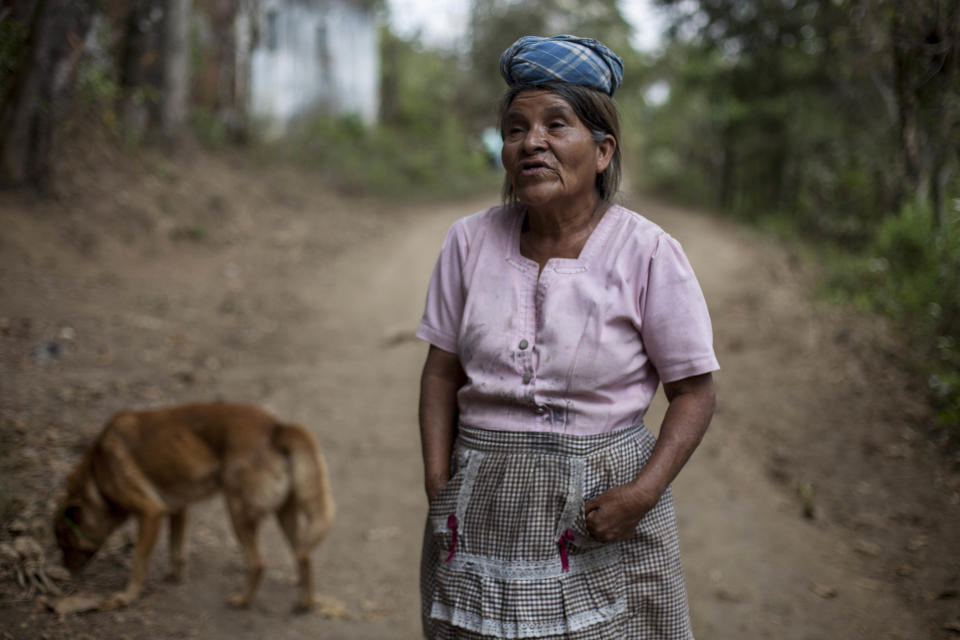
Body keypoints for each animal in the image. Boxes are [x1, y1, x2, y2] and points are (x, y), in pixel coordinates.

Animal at [56, 402, 336, 612]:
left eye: (63, 543)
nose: (66, 571)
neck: (97, 473)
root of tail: (277, 428)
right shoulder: (178, 508)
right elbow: (176, 548)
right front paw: (173, 575)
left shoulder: (150, 512)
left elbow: (138, 562)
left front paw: (126, 598)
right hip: (285, 516)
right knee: (303, 556)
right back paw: (304, 603)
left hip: (237, 512)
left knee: (258, 563)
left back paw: (242, 601)